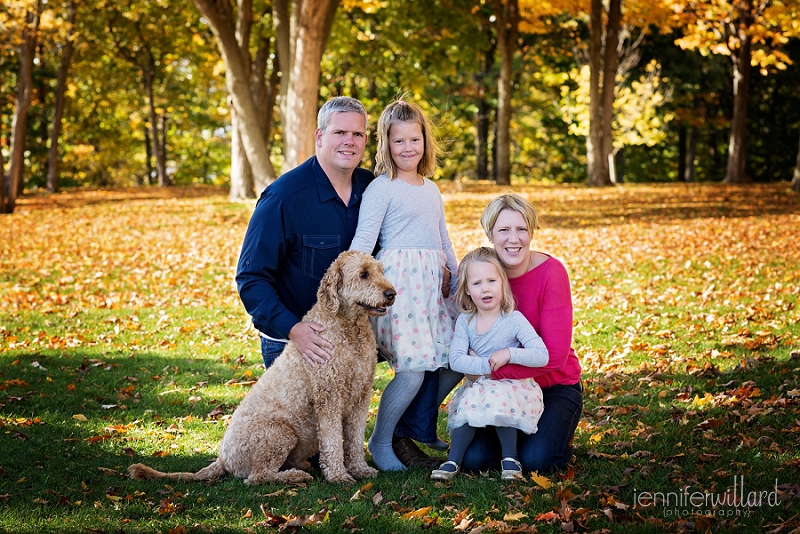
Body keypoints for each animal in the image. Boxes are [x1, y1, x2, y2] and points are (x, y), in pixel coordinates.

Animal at [127, 251, 396, 486]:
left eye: (381, 271)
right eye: (363, 274)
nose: (392, 293)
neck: (348, 329)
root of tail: (222, 459)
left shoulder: (360, 397)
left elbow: (354, 440)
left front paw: (360, 469)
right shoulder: (328, 398)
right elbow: (333, 443)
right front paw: (339, 476)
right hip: (278, 433)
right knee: (257, 477)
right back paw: (294, 476)